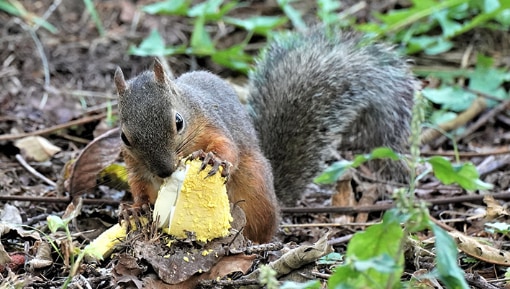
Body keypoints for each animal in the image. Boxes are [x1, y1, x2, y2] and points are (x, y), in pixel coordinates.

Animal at [113, 27, 416, 243]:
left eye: (179, 122)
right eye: (124, 137)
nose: (164, 171)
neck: (190, 105)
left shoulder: (213, 125)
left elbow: (227, 148)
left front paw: (213, 159)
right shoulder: (134, 165)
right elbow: (139, 184)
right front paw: (135, 208)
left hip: (255, 187)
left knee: (261, 231)